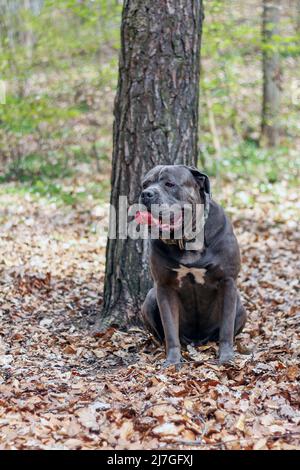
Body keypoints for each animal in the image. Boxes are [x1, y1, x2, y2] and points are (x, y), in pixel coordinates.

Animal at [136, 165, 246, 368]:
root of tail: (198, 341)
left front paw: (226, 357)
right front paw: (172, 360)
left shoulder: (227, 281)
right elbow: (170, 329)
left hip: (240, 307)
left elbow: (226, 327)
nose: (146, 194)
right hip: (149, 299)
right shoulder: (164, 286)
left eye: (169, 184)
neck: (187, 241)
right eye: (145, 184)